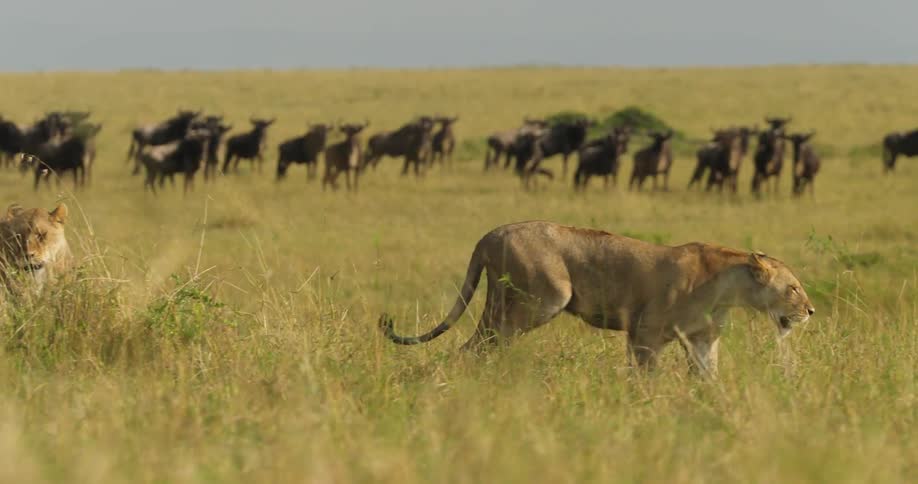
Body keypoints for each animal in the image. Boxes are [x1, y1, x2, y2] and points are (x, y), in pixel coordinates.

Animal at [380, 221, 815, 374]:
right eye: (793, 287)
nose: (810, 310)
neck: (729, 289)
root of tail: (491, 233)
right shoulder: (645, 332)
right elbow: (645, 375)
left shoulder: (703, 340)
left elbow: (709, 377)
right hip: (543, 298)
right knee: (477, 346)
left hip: (505, 304)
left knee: (478, 344)